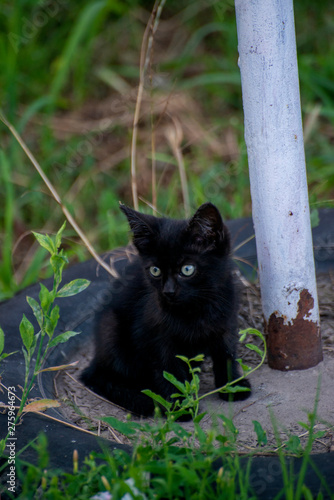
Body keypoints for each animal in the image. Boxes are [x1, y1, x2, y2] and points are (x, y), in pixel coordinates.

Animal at [79, 201, 249, 416]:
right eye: (155, 270)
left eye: (187, 269)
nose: (168, 292)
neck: (195, 309)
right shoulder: (155, 337)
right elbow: (169, 372)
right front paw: (180, 407)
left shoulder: (226, 323)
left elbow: (226, 355)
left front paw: (232, 387)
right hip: (112, 329)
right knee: (106, 375)